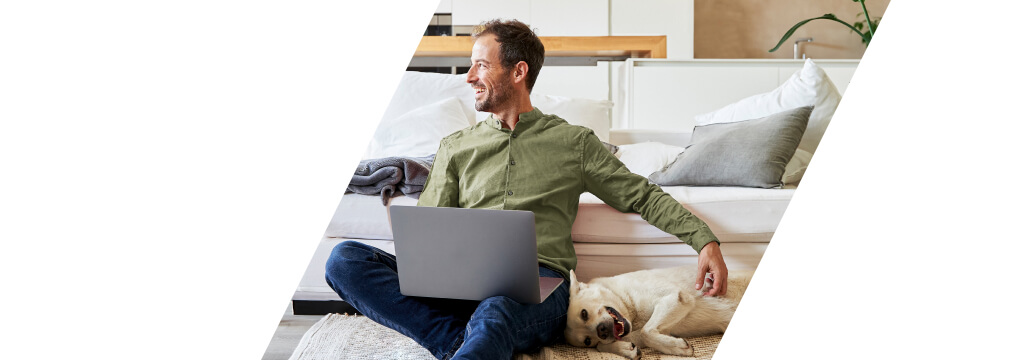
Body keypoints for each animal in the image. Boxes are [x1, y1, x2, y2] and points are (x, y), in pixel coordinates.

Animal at [564, 265, 748, 357]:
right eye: (587, 341)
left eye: (584, 314)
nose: (601, 331)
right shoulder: (663, 328)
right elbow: (601, 346)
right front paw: (626, 349)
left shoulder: (674, 297)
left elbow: (646, 332)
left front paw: (680, 348)